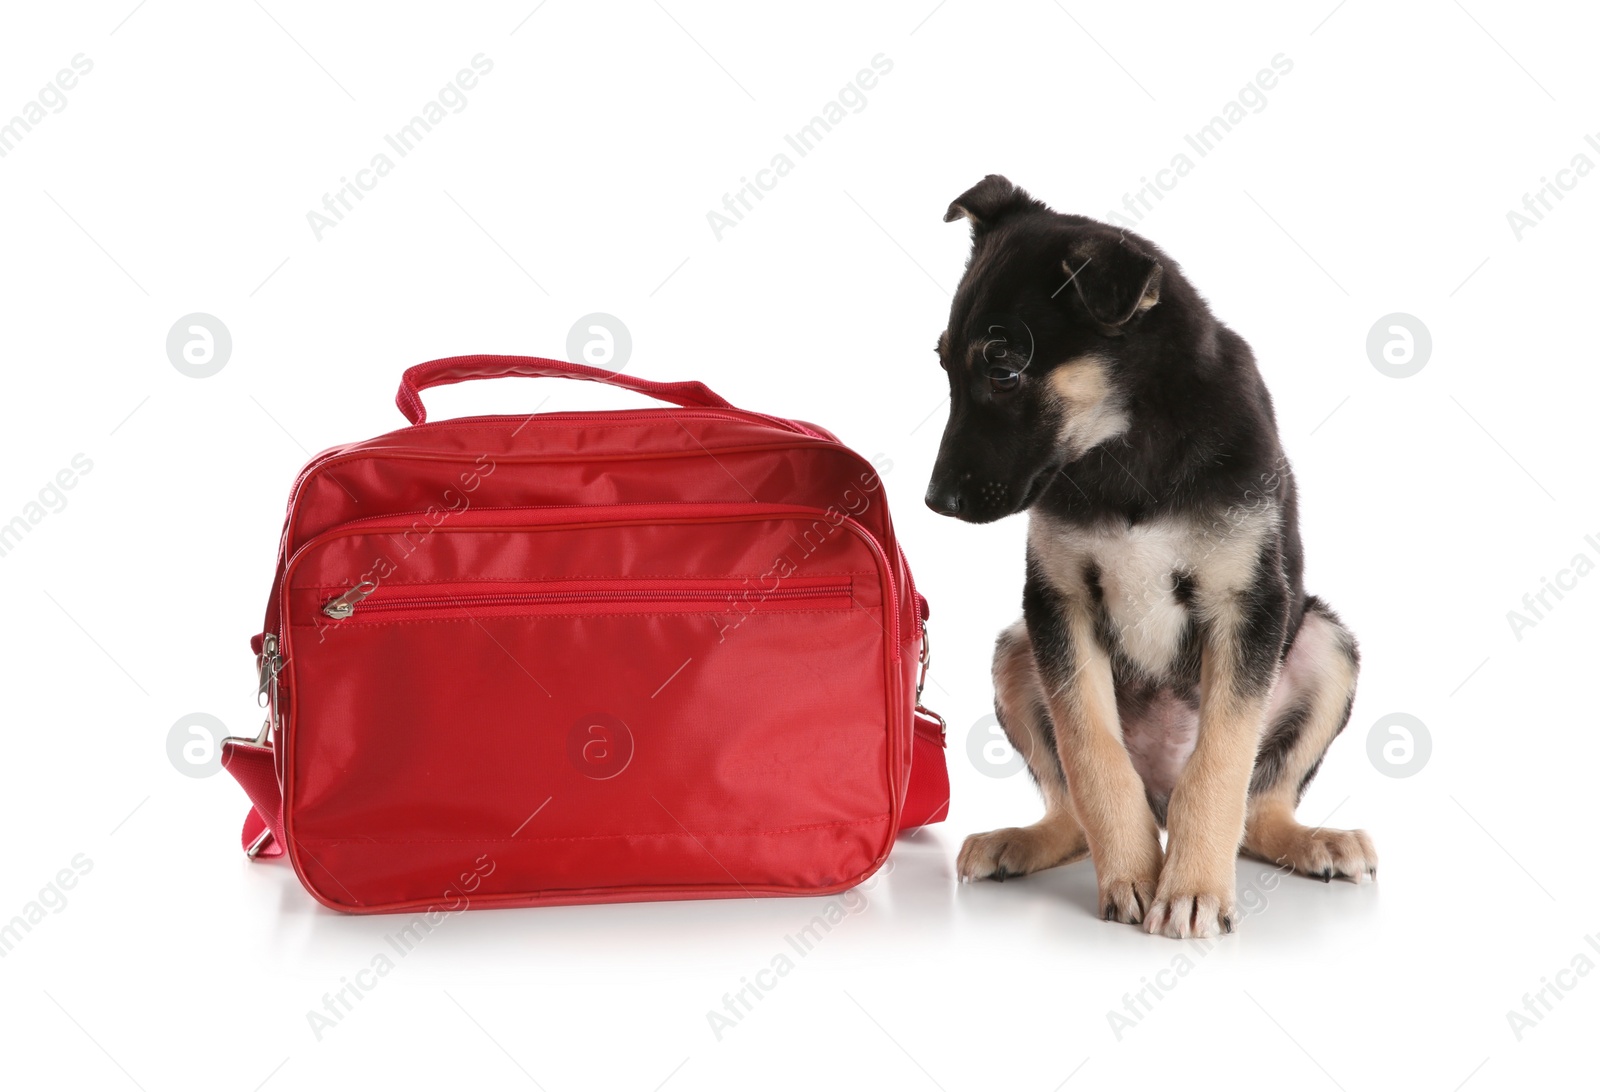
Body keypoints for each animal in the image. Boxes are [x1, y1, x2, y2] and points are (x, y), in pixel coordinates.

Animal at [934, 174, 1382, 928]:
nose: (936, 502)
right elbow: (1092, 754)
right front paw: (1132, 875)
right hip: (1017, 649)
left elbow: (1221, 763)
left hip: (1325, 643)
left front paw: (1194, 889)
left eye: (1004, 370)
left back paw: (1309, 840)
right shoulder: (1058, 606)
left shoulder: (1247, 605)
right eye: (941, 362)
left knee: (1258, 804)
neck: (1125, 448)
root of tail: (1162, 800)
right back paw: (1029, 839)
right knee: (1072, 805)